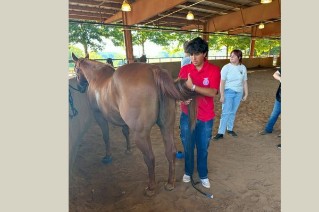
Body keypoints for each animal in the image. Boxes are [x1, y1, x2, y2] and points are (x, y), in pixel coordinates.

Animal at [72, 52, 198, 195]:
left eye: (76, 68)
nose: (80, 87)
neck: (97, 77)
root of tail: (154, 70)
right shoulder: (123, 121)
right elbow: (125, 132)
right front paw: (128, 149)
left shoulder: (99, 116)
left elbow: (106, 136)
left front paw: (108, 156)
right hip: (166, 127)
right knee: (170, 151)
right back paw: (170, 183)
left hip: (141, 135)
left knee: (150, 157)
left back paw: (151, 187)